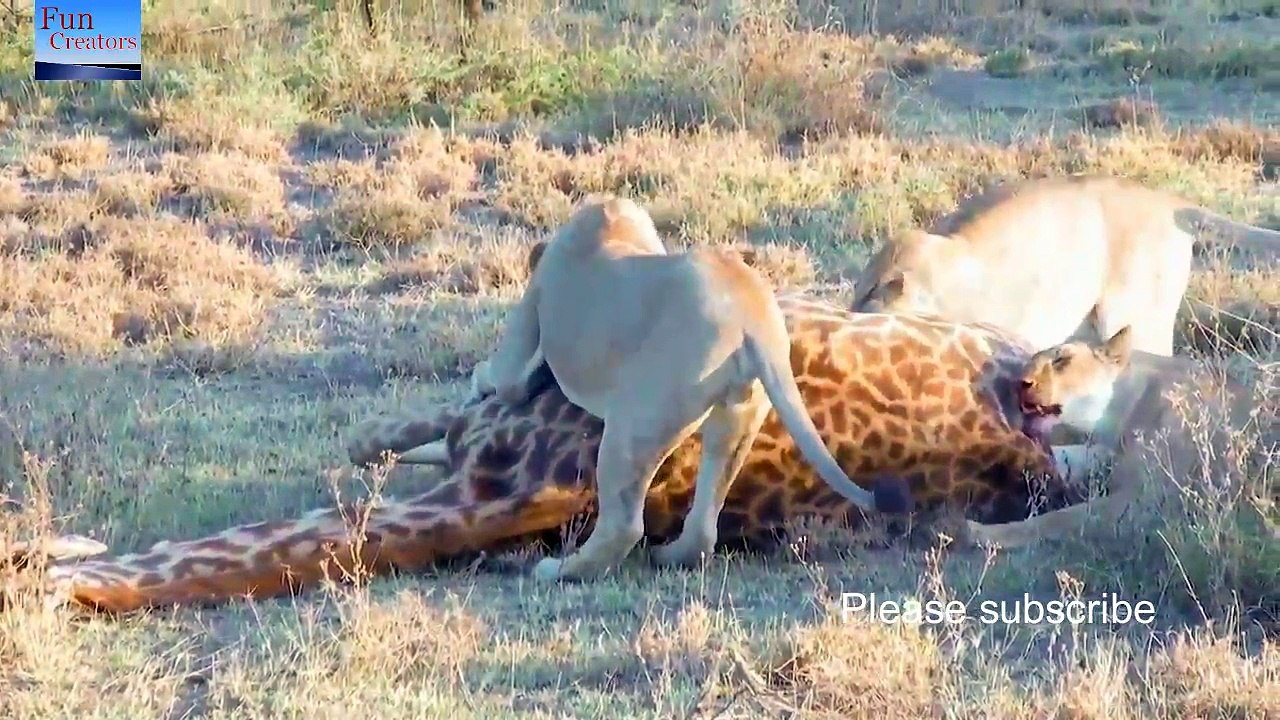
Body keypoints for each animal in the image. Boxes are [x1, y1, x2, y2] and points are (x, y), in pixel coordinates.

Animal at [470, 196, 911, 582]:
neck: (612, 225)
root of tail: (752, 316)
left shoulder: (526, 323)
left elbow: (502, 377)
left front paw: (480, 381)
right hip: (737, 418)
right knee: (703, 527)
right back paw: (668, 556)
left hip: (636, 422)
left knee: (624, 525)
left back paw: (557, 571)